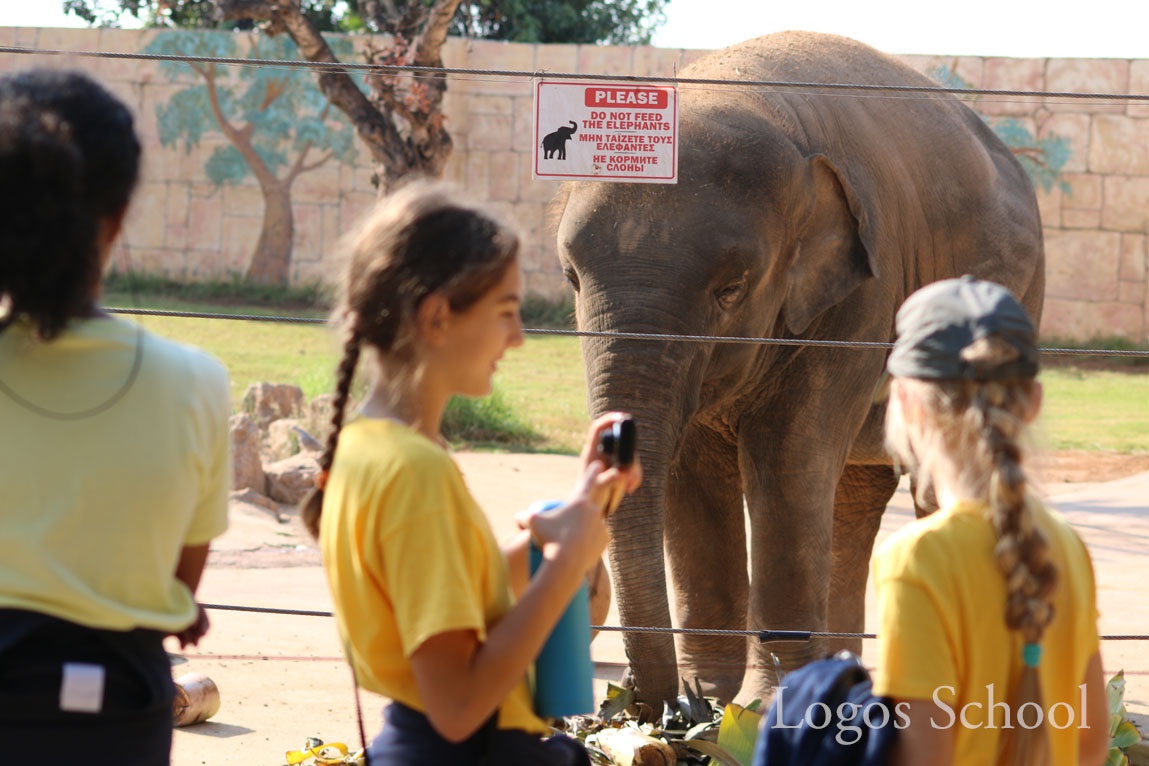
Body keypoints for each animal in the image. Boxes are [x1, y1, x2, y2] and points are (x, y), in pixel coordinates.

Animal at [551, 31, 1047, 712]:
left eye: (730, 289)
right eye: (571, 277)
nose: (637, 704)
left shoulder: (863, 296)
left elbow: (785, 458)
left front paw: (761, 707)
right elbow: (691, 472)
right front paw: (710, 701)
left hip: (1018, 303)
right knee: (856, 494)